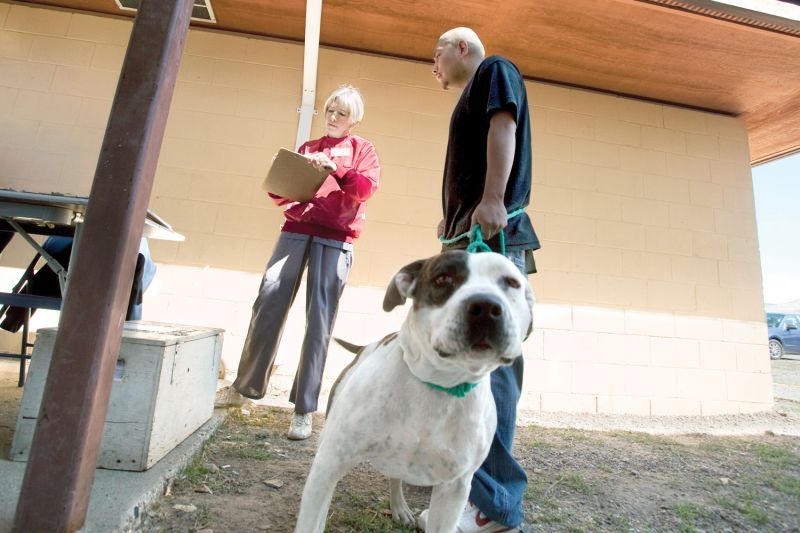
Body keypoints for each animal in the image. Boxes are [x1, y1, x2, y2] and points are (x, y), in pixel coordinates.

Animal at [292, 250, 532, 532]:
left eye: (511, 283)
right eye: (443, 278)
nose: (486, 307)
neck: (439, 383)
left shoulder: (454, 490)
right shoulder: (328, 466)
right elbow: (311, 520)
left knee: (396, 477)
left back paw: (399, 508)